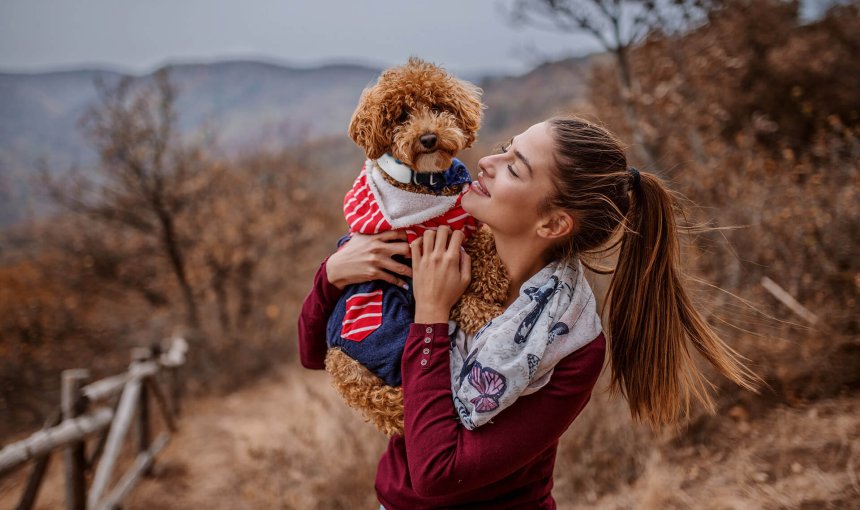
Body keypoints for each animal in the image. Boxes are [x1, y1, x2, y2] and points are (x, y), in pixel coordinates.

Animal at [326, 57, 508, 436]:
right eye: (401, 116)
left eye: (437, 106)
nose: (428, 137)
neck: (426, 184)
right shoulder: (417, 261)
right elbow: (463, 293)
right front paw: (489, 300)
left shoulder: (460, 217)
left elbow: (482, 234)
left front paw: (494, 271)